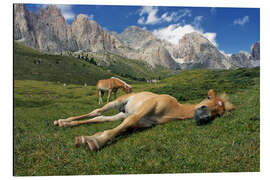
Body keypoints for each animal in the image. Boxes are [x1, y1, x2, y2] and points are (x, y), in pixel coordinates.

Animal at [54, 89, 234, 150]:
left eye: (219, 112)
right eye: (208, 99)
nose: (204, 117)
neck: (172, 109)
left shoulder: (143, 123)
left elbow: (125, 127)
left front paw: (88, 138)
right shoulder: (144, 110)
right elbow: (126, 125)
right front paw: (95, 141)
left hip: (121, 113)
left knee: (100, 118)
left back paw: (66, 123)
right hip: (117, 102)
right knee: (96, 111)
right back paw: (62, 121)